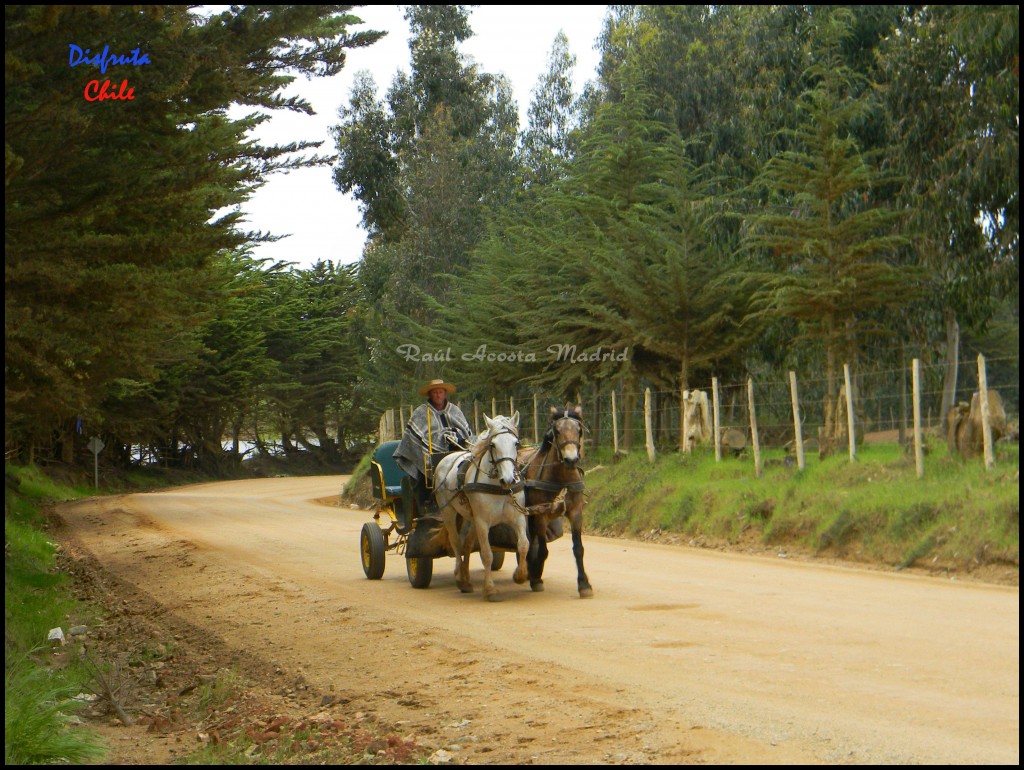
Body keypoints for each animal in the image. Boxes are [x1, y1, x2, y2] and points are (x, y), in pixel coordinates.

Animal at [520, 405, 593, 597]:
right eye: (557, 431)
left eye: (579, 430)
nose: (571, 459)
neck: (561, 478)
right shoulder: (541, 514)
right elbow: (543, 550)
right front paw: (536, 576)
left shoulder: (576, 513)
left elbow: (578, 549)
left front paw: (584, 584)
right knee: (531, 540)